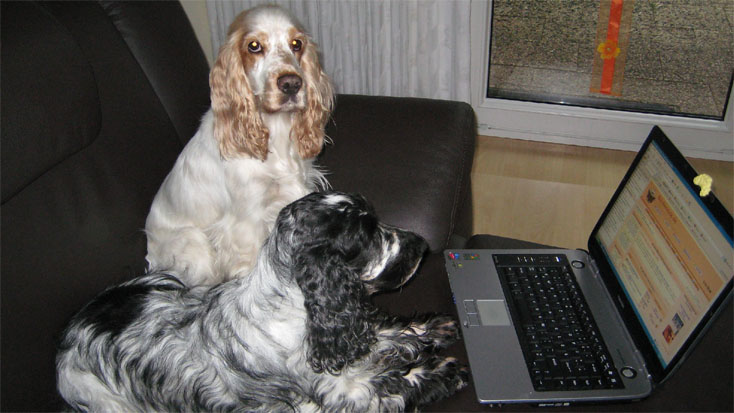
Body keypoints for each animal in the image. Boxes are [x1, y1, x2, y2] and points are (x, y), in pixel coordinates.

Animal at [57, 192, 468, 411]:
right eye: (367, 236)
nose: (422, 245)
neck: (289, 305)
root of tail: (77, 324)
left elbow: (385, 335)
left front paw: (435, 327)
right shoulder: (336, 395)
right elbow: (394, 386)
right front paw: (445, 372)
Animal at [145, 5, 334, 286]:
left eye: (296, 44)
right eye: (254, 46)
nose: (291, 83)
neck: (274, 133)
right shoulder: (247, 221)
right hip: (194, 246)